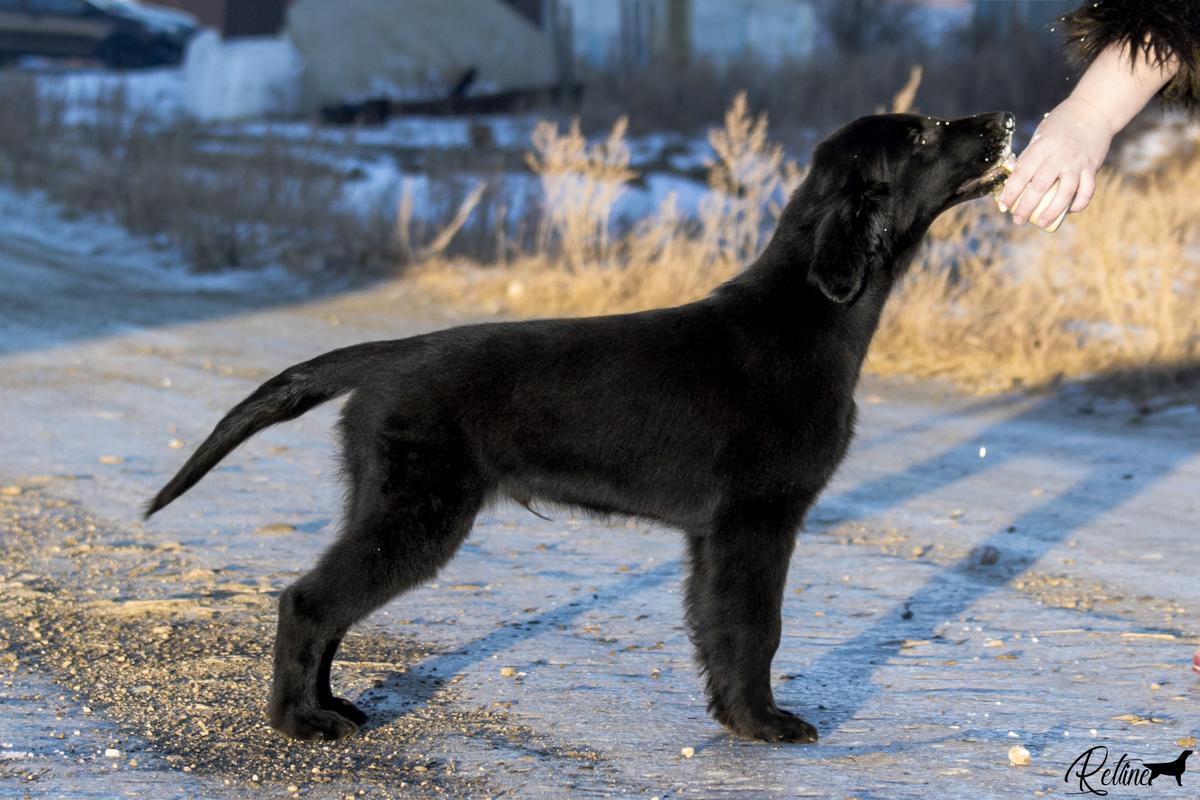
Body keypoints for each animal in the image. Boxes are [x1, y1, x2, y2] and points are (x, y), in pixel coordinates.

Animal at [147, 109, 1012, 743]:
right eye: (924, 135)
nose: (1003, 119)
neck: (807, 319)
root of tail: (392, 355)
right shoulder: (758, 520)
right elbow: (755, 628)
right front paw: (764, 724)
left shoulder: (714, 536)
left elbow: (716, 628)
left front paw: (733, 717)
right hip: (419, 511)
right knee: (308, 601)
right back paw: (300, 722)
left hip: (387, 501)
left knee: (329, 607)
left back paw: (332, 706)